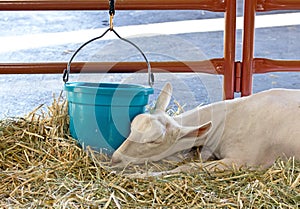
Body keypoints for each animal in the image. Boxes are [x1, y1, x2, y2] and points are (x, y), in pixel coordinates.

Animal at [111, 82, 300, 174]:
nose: (115, 159)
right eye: (133, 126)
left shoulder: (242, 159)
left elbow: (187, 168)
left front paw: (134, 175)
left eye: (154, 140)